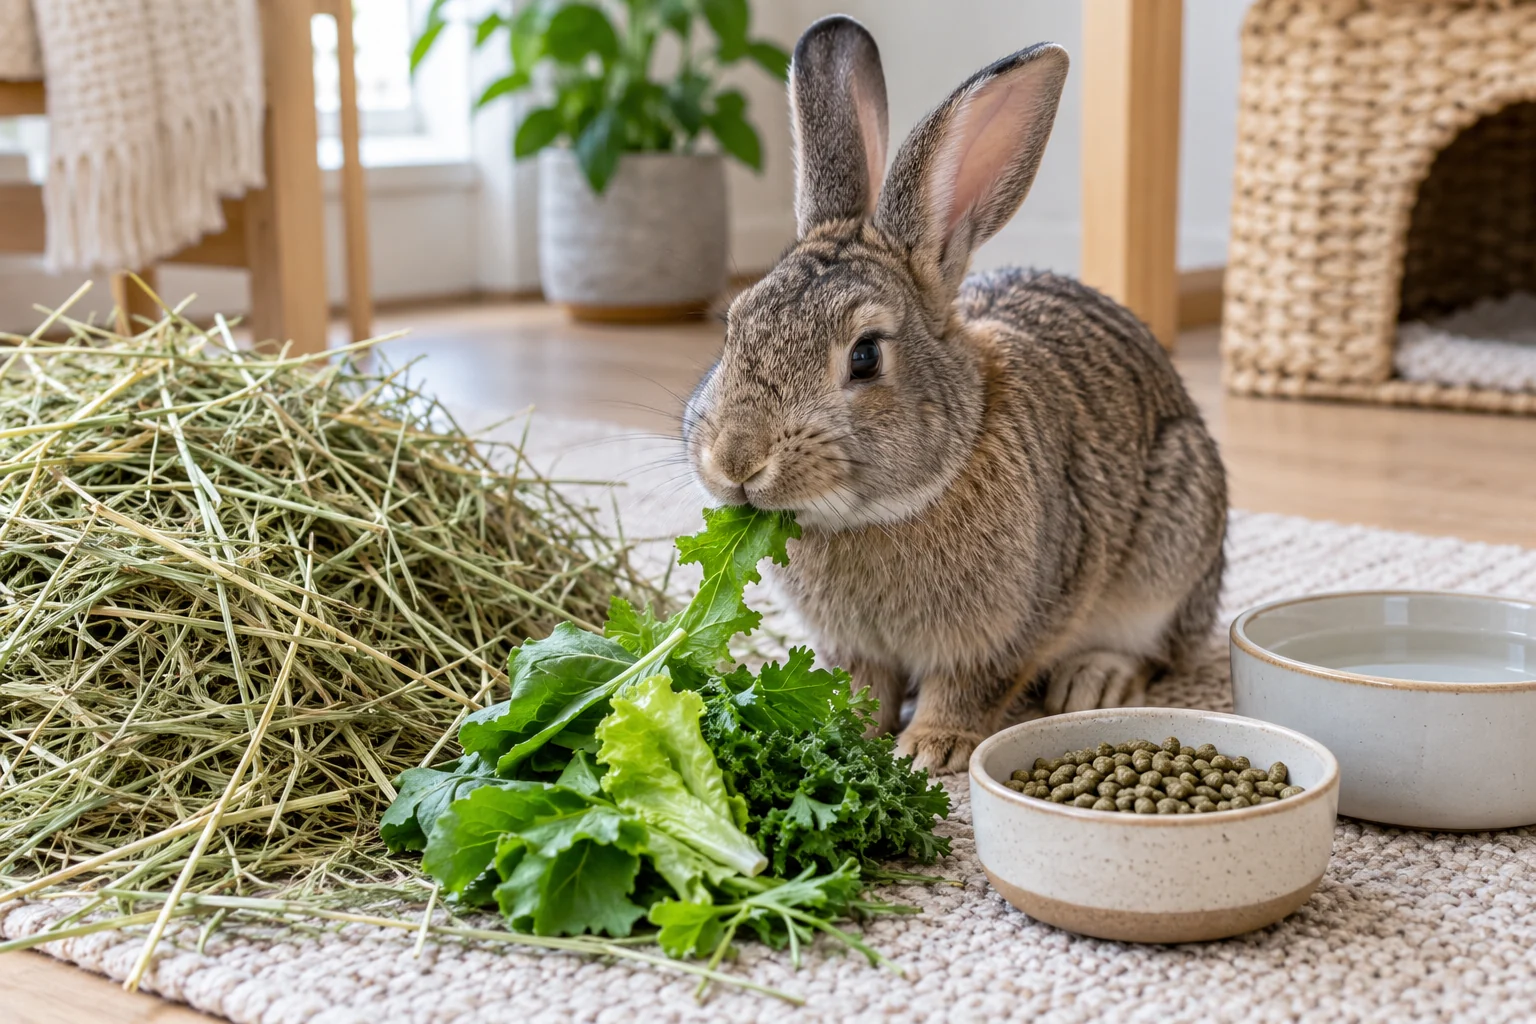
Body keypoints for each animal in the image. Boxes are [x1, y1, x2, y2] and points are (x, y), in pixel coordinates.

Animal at [683, 15, 1227, 773]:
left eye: (864, 356)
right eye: (734, 325)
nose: (736, 462)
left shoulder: (1014, 622)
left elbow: (969, 685)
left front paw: (930, 749)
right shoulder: (855, 648)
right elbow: (863, 686)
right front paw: (851, 731)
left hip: (1173, 548)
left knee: (1159, 650)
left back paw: (1095, 678)